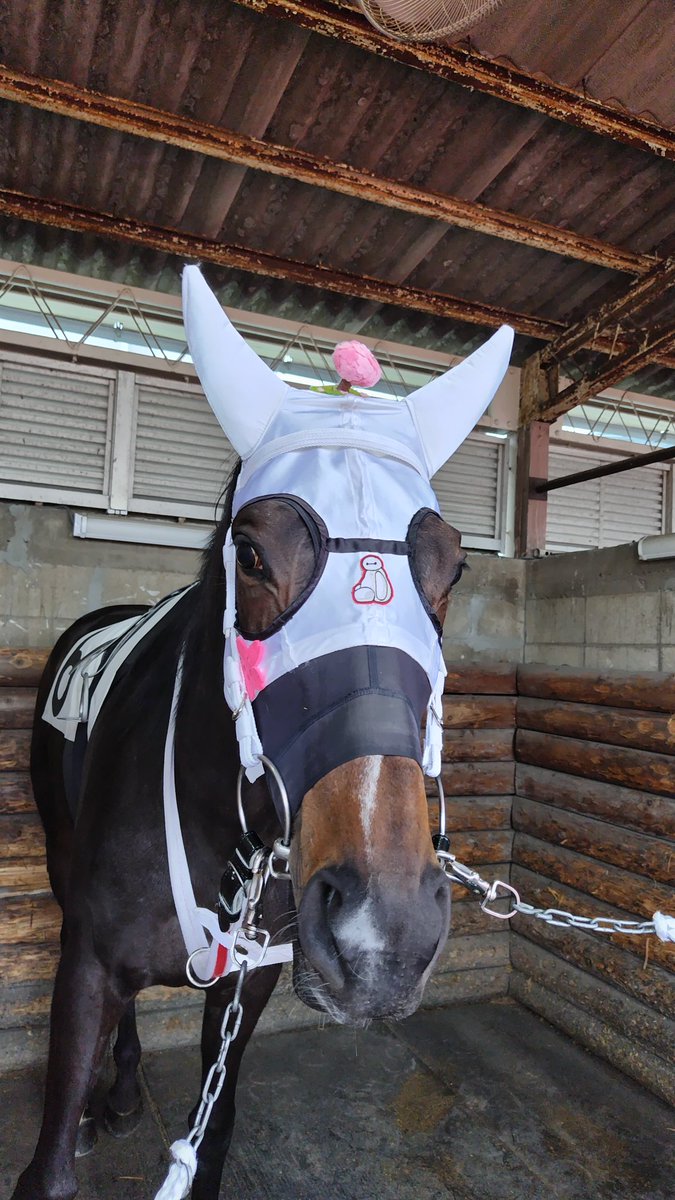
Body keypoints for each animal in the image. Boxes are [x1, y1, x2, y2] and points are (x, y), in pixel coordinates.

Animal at [11, 267, 513, 1200]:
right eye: (249, 553)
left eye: (455, 567)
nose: (385, 931)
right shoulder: (87, 962)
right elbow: (52, 1157)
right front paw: (90, 1105)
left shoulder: (250, 980)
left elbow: (208, 1143)